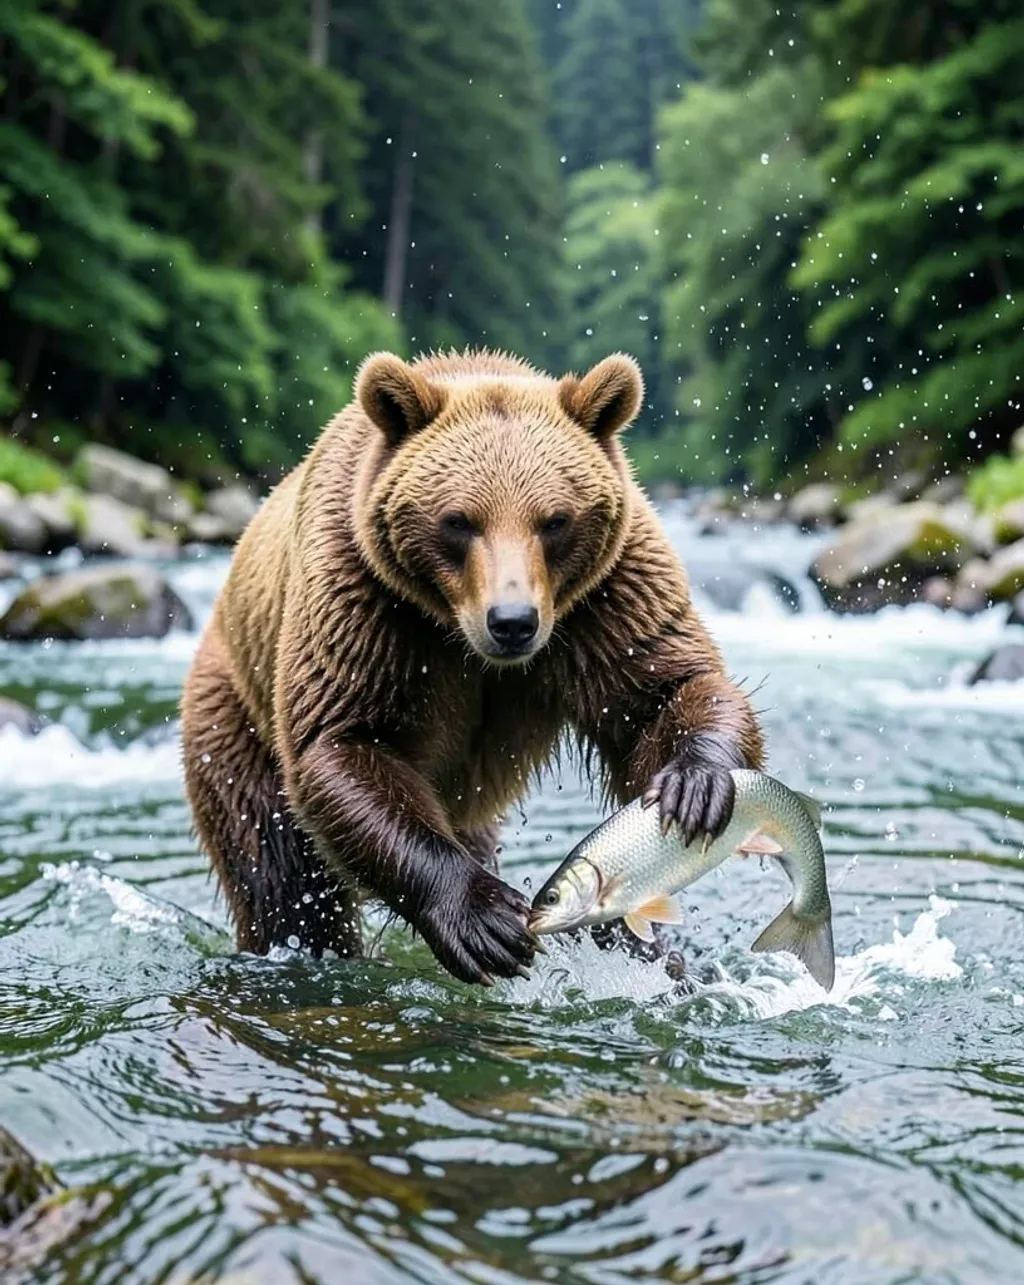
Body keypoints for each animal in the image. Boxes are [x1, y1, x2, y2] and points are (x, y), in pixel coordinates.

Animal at [181, 349, 764, 984]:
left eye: (554, 520)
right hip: (233, 717)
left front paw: (694, 786)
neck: (460, 635)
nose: (512, 621)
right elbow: (342, 738)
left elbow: (667, 685)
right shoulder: (365, 599)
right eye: (458, 520)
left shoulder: (607, 596)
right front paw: (484, 921)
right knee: (281, 878)